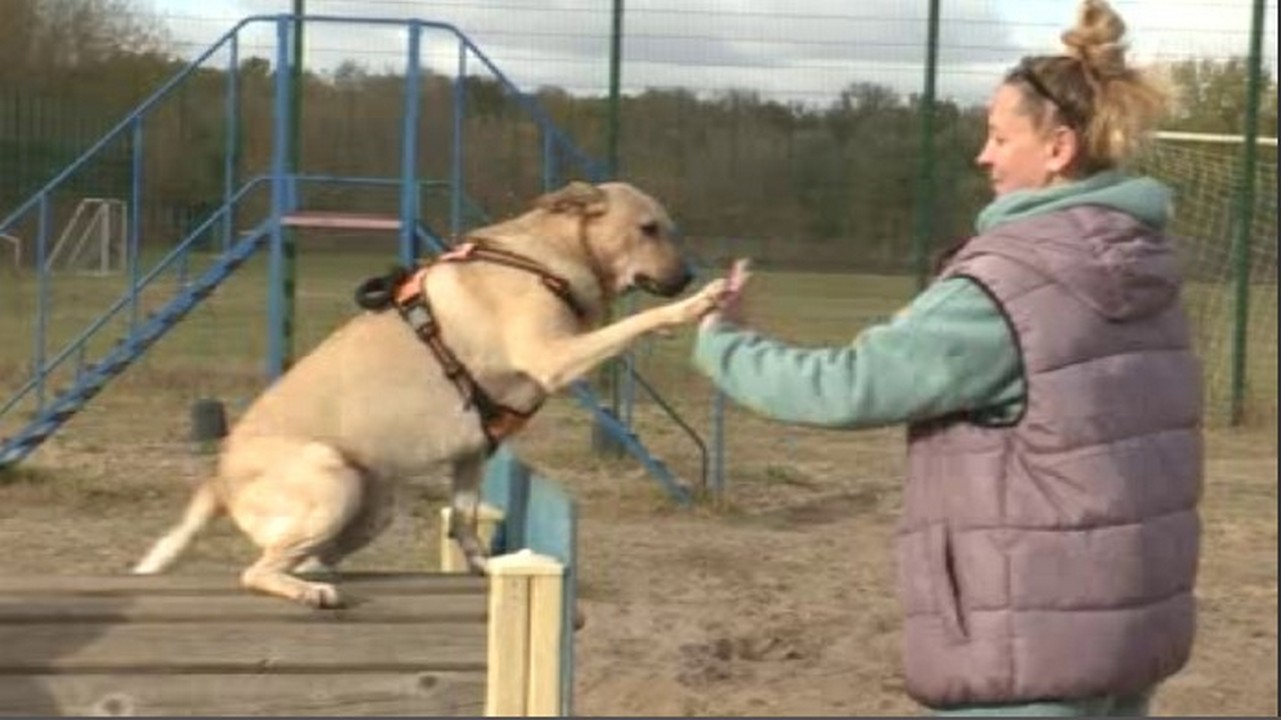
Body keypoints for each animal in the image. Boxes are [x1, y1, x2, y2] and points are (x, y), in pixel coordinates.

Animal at [133, 180, 727, 604]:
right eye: (649, 229)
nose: (687, 275)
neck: (547, 258)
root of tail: (218, 480)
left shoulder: (472, 454)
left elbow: (465, 521)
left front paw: (483, 566)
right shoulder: (553, 358)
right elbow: (634, 323)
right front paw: (692, 307)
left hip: (370, 509)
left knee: (301, 556)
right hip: (331, 481)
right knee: (256, 571)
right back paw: (310, 592)